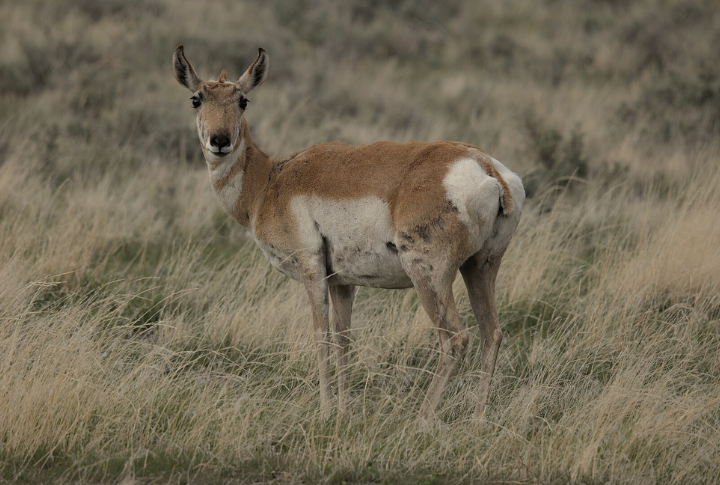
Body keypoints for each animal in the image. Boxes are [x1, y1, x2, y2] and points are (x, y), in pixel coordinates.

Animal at [172, 46, 525, 420]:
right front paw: (342, 412)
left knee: (455, 339)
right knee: (491, 334)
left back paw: (421, 421)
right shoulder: (342, 282)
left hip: (430, 277)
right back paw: (479, 420)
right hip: (480, 269)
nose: (220, 141)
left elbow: (321, 336)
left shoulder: (312, 270)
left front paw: (326, 411)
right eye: (196, 99)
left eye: (243, 100)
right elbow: (344, 339)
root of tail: (486, 168)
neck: (270, 181)